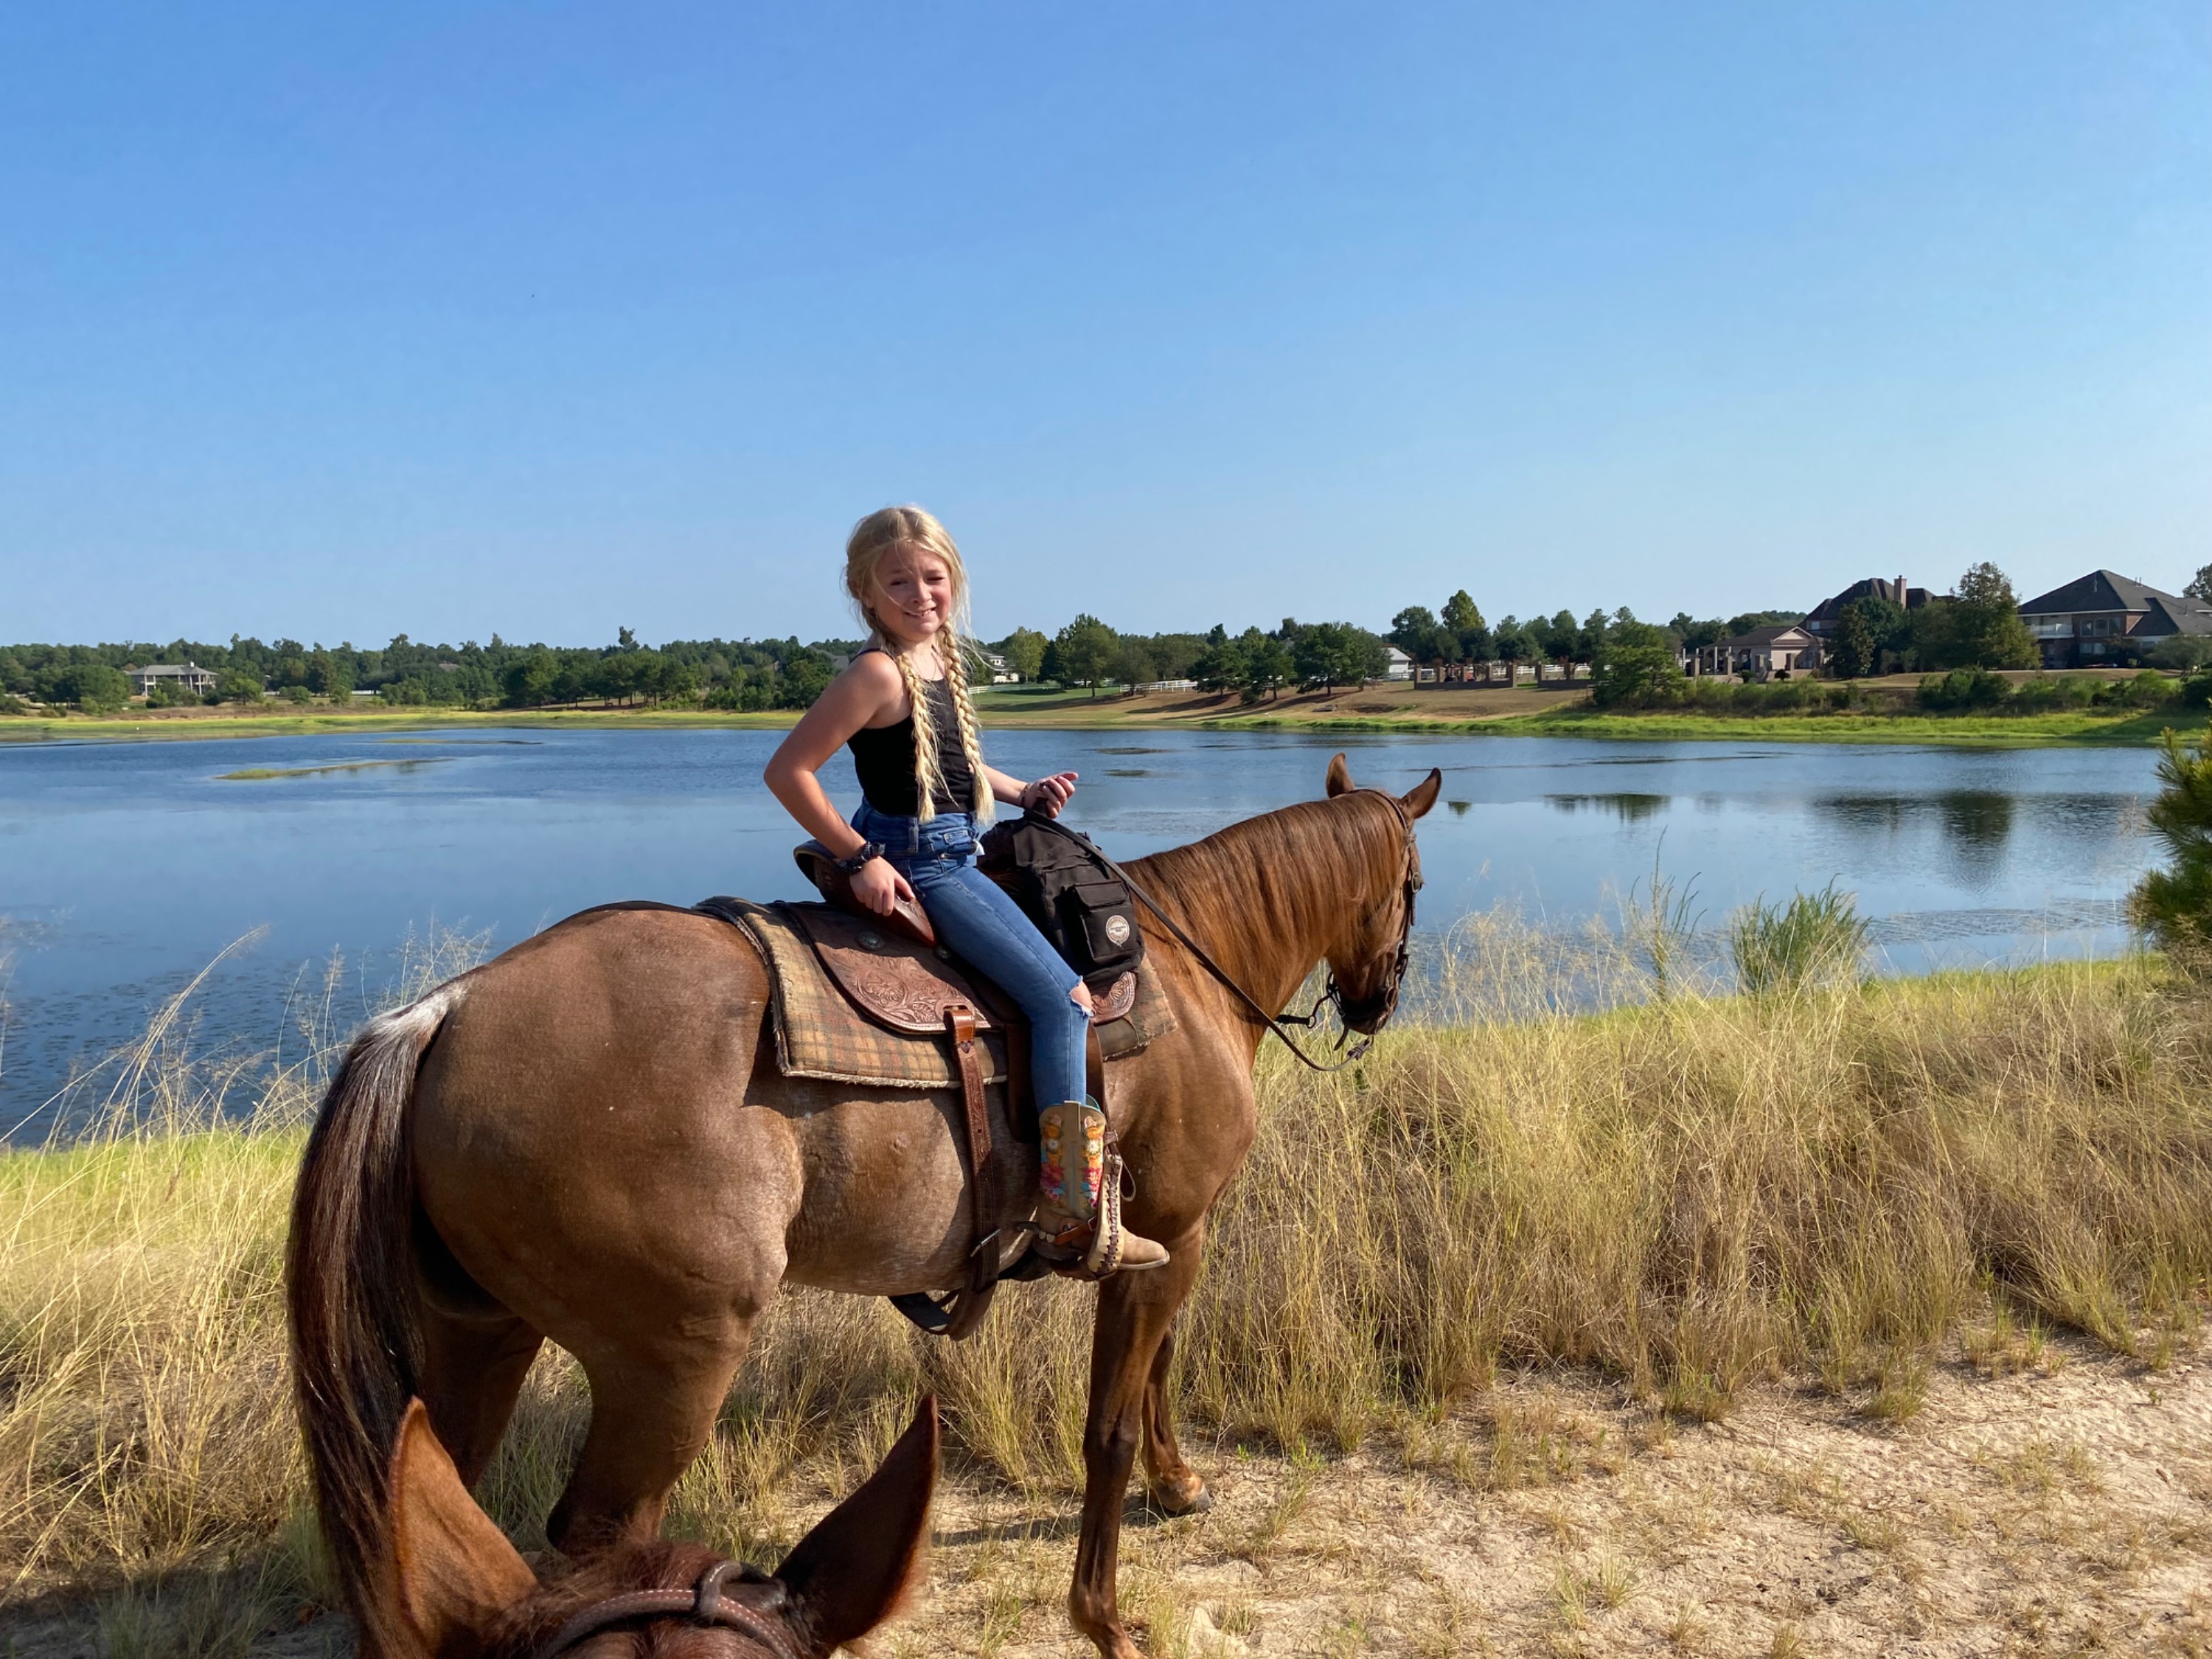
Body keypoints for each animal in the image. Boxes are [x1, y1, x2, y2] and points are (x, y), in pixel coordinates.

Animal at [288, 752, 1441, 1659]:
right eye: (1417, 882)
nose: (1378, 1001)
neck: (1192, 972)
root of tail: (449, 1008)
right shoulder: (1177, 1235)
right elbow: (1108, 1424)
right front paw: (1105, 1617)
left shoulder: (1163, 1243)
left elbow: (1154, 1375)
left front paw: (1180, 1485)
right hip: (672, 1360)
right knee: (603, 1537)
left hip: (478, 1336)